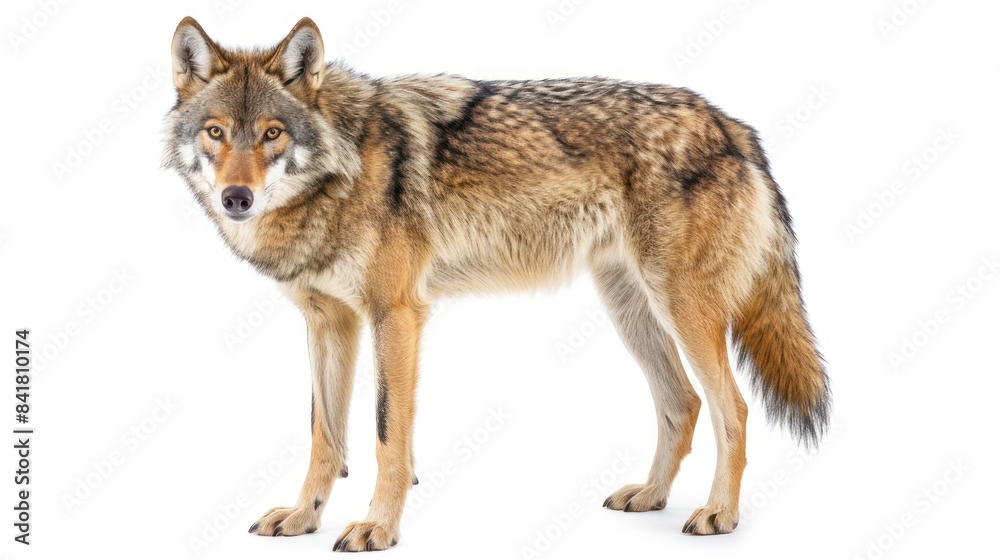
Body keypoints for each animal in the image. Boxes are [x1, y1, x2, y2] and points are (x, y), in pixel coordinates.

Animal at [163, 16, 830, 552]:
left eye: (272, 133)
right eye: (216, 132)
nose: (237, 198)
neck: (340, 170)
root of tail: (730, 123)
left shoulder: (395, 315)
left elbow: (386, 437)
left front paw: (378, 528)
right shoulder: (330, 322)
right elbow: (324, 435)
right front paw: (304, 518)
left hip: (681, 306)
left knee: (731, 407)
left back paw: (719, 514)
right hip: (631, 308)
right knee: (682, 402)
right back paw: (650, 496)